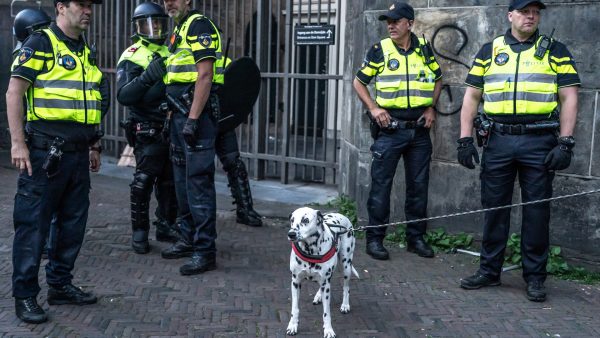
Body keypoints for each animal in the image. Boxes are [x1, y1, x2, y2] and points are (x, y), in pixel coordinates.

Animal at [288, 206, 360, 338]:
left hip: (346, 265)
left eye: (305, 220)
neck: (310, 249)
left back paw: (345, 305)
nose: (291, 234)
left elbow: (326, 312)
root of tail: (342, 215)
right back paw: (318, 296)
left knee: (346, 287)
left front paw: (328, 330)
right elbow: (294, 308)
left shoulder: (326, 283)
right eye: (292, 220)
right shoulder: (295, 282)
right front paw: (292, 326)